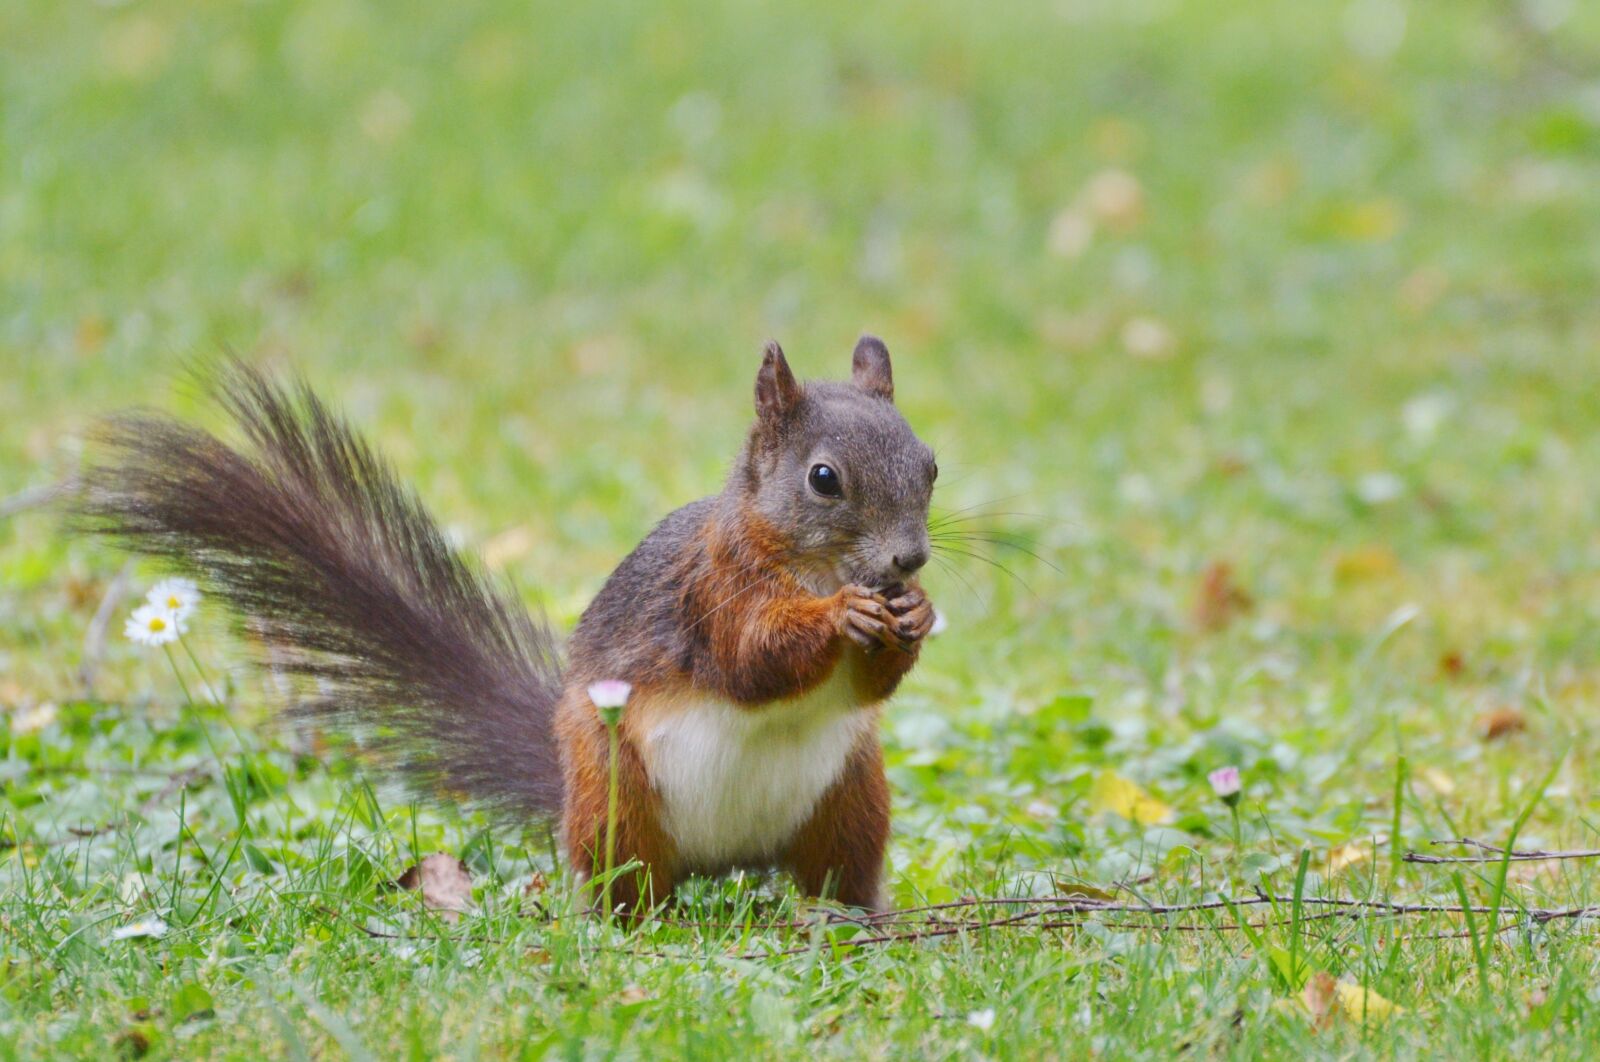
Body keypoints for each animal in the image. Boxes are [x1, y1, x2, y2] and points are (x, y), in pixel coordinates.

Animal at [76, 336, 938, 913]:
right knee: (629, 884)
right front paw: (841, 615)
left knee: (835, 873)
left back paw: (855, 915)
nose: (910, 561)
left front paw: (916, 616)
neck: (810, 564)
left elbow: (869, 687)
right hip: (616, 796)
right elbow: (753, 660)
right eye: (823, 479)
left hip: (851, 799)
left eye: (930, 465)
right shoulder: (709, 593)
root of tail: (727, 860)